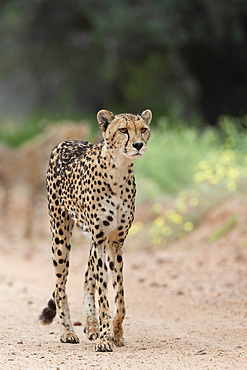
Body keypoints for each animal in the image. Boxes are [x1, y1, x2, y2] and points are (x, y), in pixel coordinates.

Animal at [39, 108, 151, 352]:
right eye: (123, 130)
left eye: (143, 129)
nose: (138, 144)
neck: (119, 172)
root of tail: (67, 141)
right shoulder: (100, 239)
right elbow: (103, 294)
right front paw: (104, 338)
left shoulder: (115, 242)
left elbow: (119, 297)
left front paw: (115, 333)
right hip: (60, 236)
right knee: (60, 287)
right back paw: (68, 332)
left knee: (87, 275)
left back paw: (91, 325)